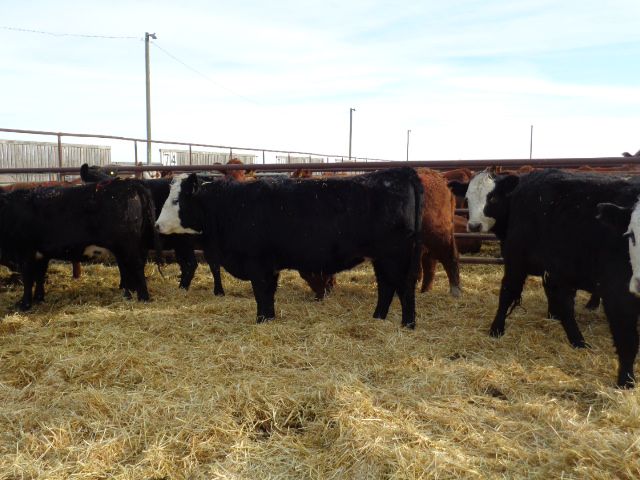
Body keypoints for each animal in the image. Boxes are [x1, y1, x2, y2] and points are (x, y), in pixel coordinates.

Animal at [0, 179, 158, 310]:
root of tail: (130, 183)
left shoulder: (25, 252)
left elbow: (28, 279)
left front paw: (24, 304)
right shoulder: (41, 254)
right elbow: (39, 276)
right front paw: (38, 298)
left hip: (127, 245)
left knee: (136, 266)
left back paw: (143, 297)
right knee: (129, 268)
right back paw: (128, 294)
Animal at [155, 167, 424, 327]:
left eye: (177, 200)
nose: (156, 225)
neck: (230, 207)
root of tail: (400, 171)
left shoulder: (257, 264)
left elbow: (261, 294)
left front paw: (261, 321)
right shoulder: (269, 266)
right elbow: (268, 295)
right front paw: (268, 319)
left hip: (396, 256)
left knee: (404, 288)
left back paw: (407, 325)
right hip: (381, 257)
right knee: (387, 287)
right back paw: (378, 319)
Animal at [482, 169, 640, 387]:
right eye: (632, 235)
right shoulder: (618, 293)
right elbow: (628, 340)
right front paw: (625, 382)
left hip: (560, 271)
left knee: (564, 305)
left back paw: (578, 341)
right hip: (516, 259)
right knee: (508, 292)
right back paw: (496, 329)